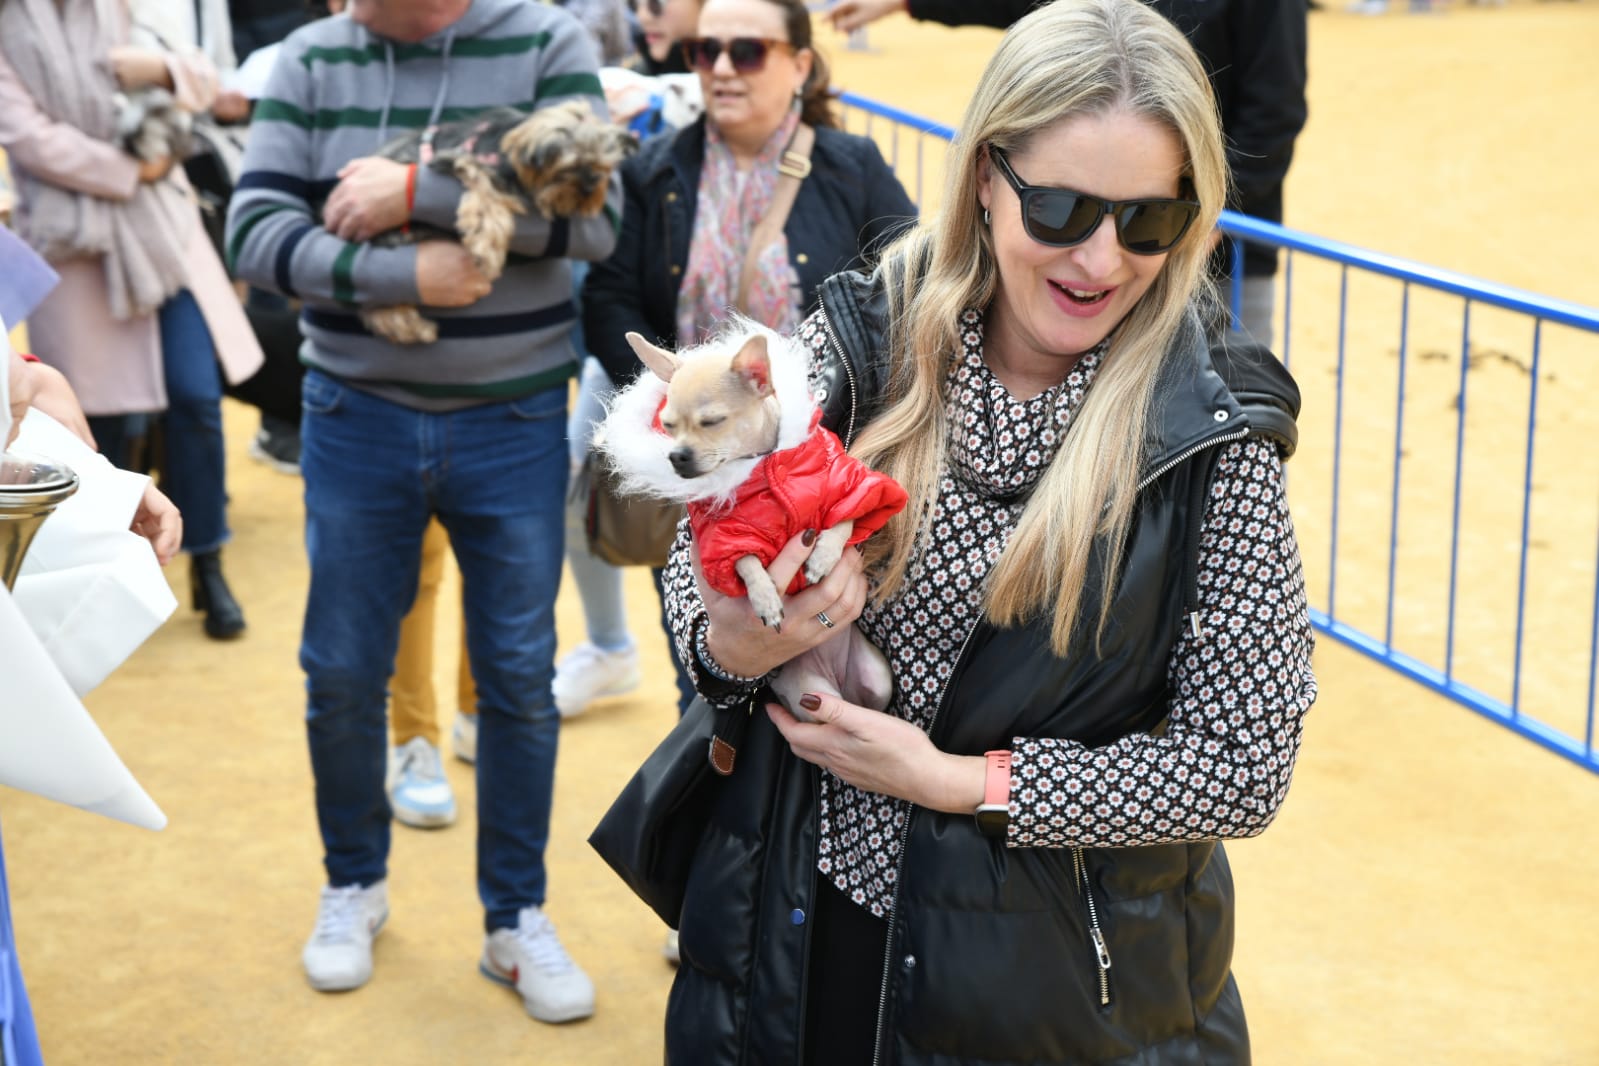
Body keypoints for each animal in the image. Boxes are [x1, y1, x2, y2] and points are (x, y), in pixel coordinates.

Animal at [359, 98, 633, 343]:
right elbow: (484, 188)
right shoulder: (462, 158)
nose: (591, 187)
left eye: (602, 166)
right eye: (571, 165)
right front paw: (487, 245)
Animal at [598, 316, 908, 715]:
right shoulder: (725, 539)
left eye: (712, 421)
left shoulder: (844, 488)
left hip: (877, 679)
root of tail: (841, 684)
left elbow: (844, 519)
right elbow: (745, 561)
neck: (761, 465)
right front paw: (766, 598)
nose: (677, 456)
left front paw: (822, 558)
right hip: (810, 689)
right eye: (666, 425)